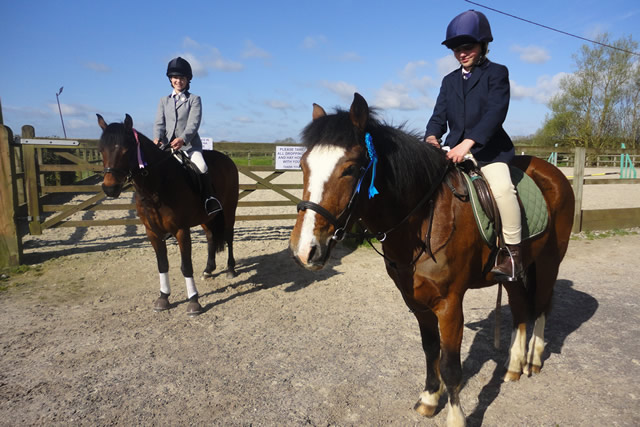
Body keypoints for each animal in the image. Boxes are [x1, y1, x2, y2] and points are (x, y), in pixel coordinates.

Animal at [94, 115, 236, 316]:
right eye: (101, 150)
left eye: (126, 150)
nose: (109, 188)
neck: (157, 185)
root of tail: (226, 159)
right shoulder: (152, 232)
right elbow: (162, 264)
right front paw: (163, 297)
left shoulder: (181, 230)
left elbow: (186, 266)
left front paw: (194, 302)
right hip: (206, 217)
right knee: (210, 237)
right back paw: (208, 269)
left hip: (230, 208)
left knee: (229, 235)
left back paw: (231, 269)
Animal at [290, 94, 576, 427]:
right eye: (302, 165)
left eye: (350, 169)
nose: (304, 250)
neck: (425, 218)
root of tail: (552, 171)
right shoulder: (416, 301)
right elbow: (430, 350)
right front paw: (429, 397)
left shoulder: (449, 304)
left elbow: (451, 364)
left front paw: (455, 416)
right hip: (515, 272)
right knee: (519, 308)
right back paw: (514, 366)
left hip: (549, 261)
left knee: (541, 305)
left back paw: (533, 360)